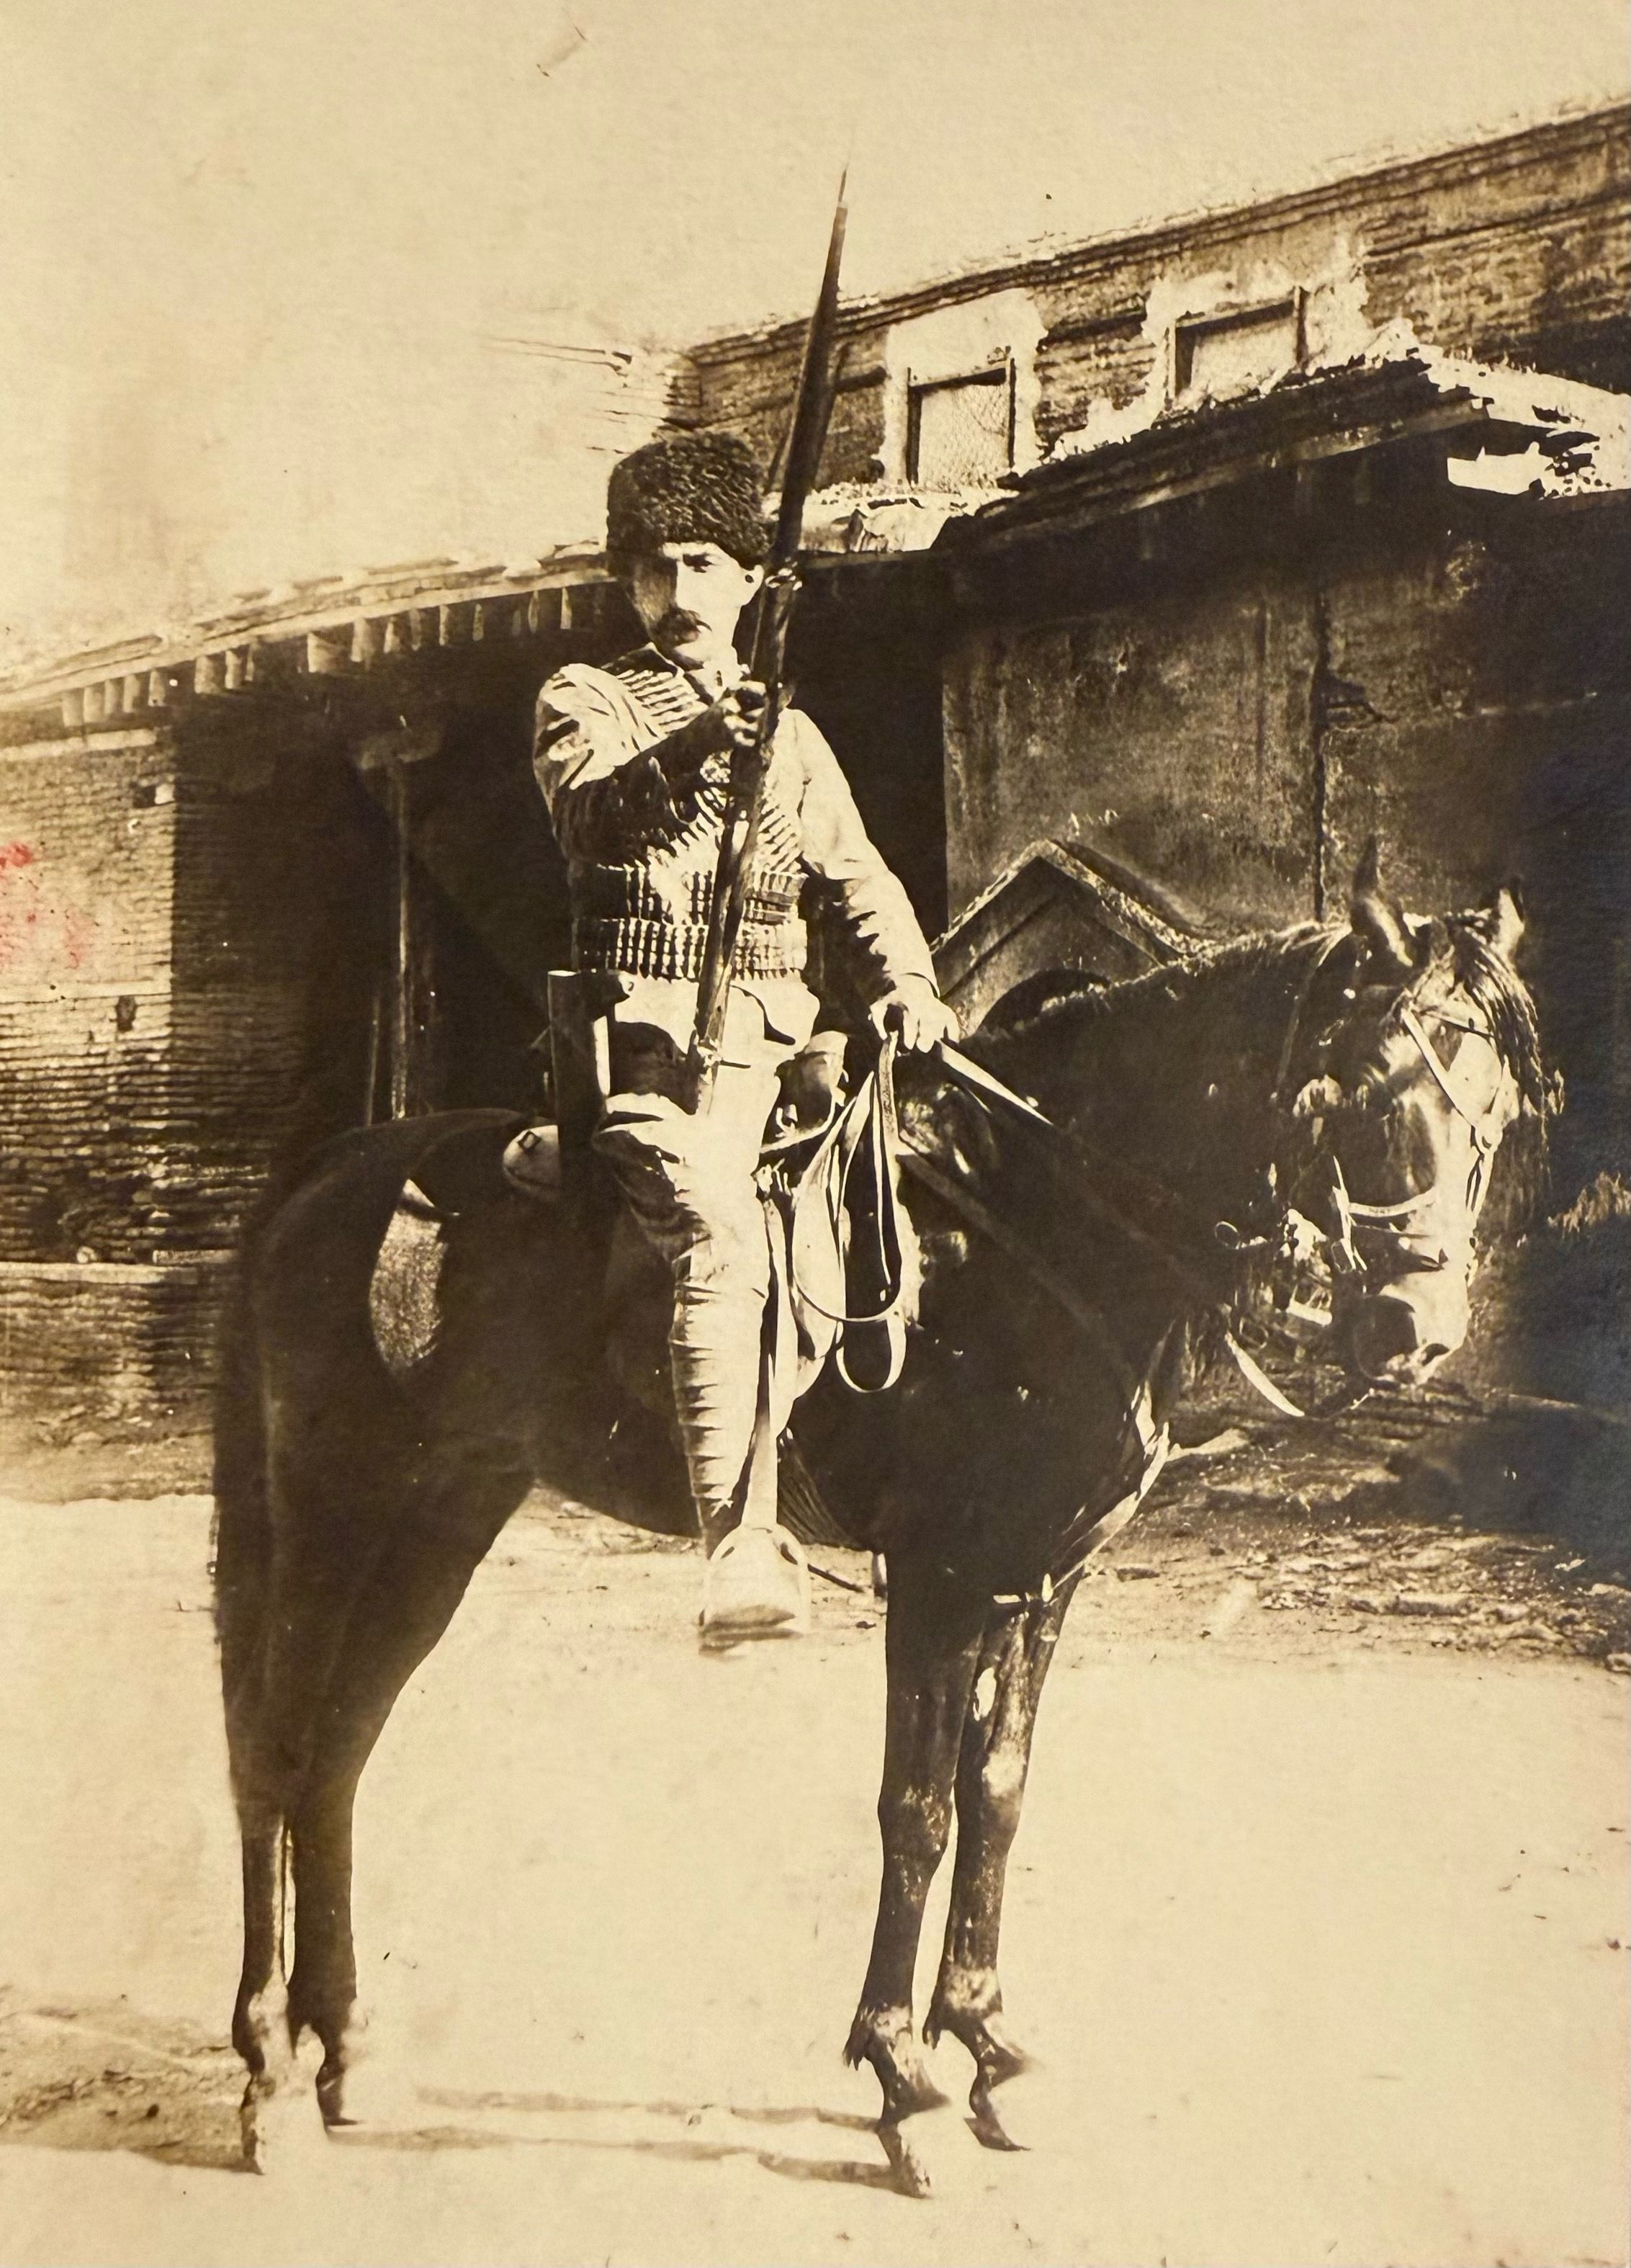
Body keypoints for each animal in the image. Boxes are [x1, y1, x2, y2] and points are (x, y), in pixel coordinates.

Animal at [213, 850, 1547, 2192]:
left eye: (1492, 1113)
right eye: (1365, 1087)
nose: (1414, 1327)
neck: (1041, 1229)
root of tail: (324, 1178)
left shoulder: (1040, 1579)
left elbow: (997, 1791)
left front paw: (990, 2044)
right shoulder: (943, 1575)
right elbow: (918, 1810)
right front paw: (906, 2079)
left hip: (439, 1520)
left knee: (340, 1750)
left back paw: (347, 2052)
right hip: (332, 1510)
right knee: (276, 1751)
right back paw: (270, 2067)